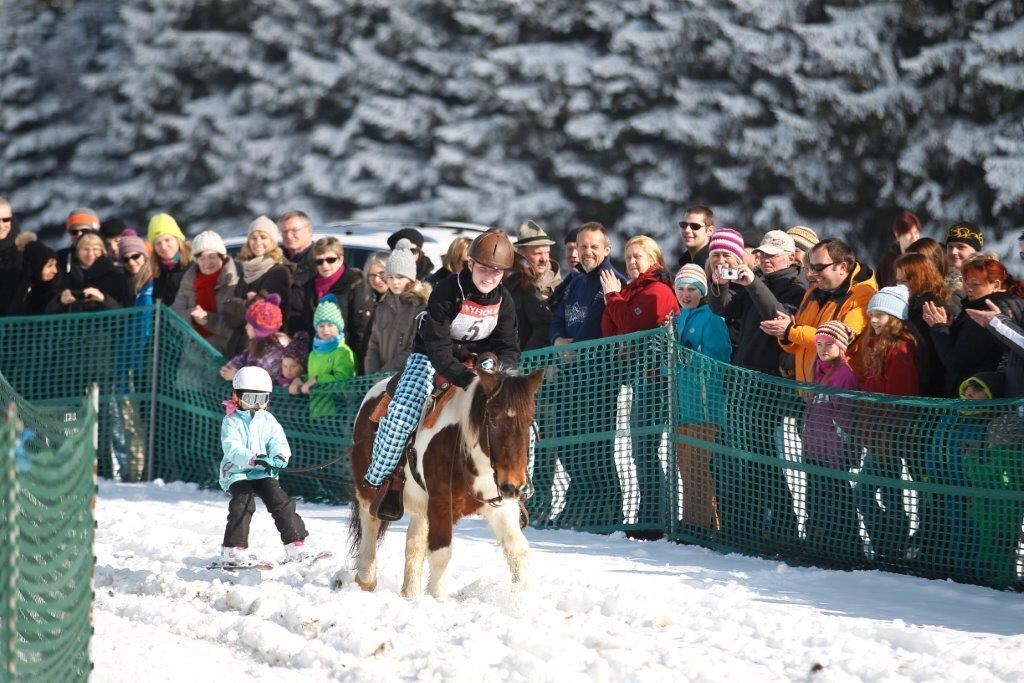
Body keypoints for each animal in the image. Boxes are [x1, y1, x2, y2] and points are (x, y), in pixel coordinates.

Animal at [337, 368, 544, 598]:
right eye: (492, 419)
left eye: (529, 421)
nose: (515, 486)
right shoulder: (441, 504)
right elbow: (441, 553)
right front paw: (437, 597)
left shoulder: (501, 507)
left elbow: (517, 550)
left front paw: (522, 597)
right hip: (368, 491)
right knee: (370, 521)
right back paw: (366, 578)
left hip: (421, 507)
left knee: (414, 542)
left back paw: (410, 593)